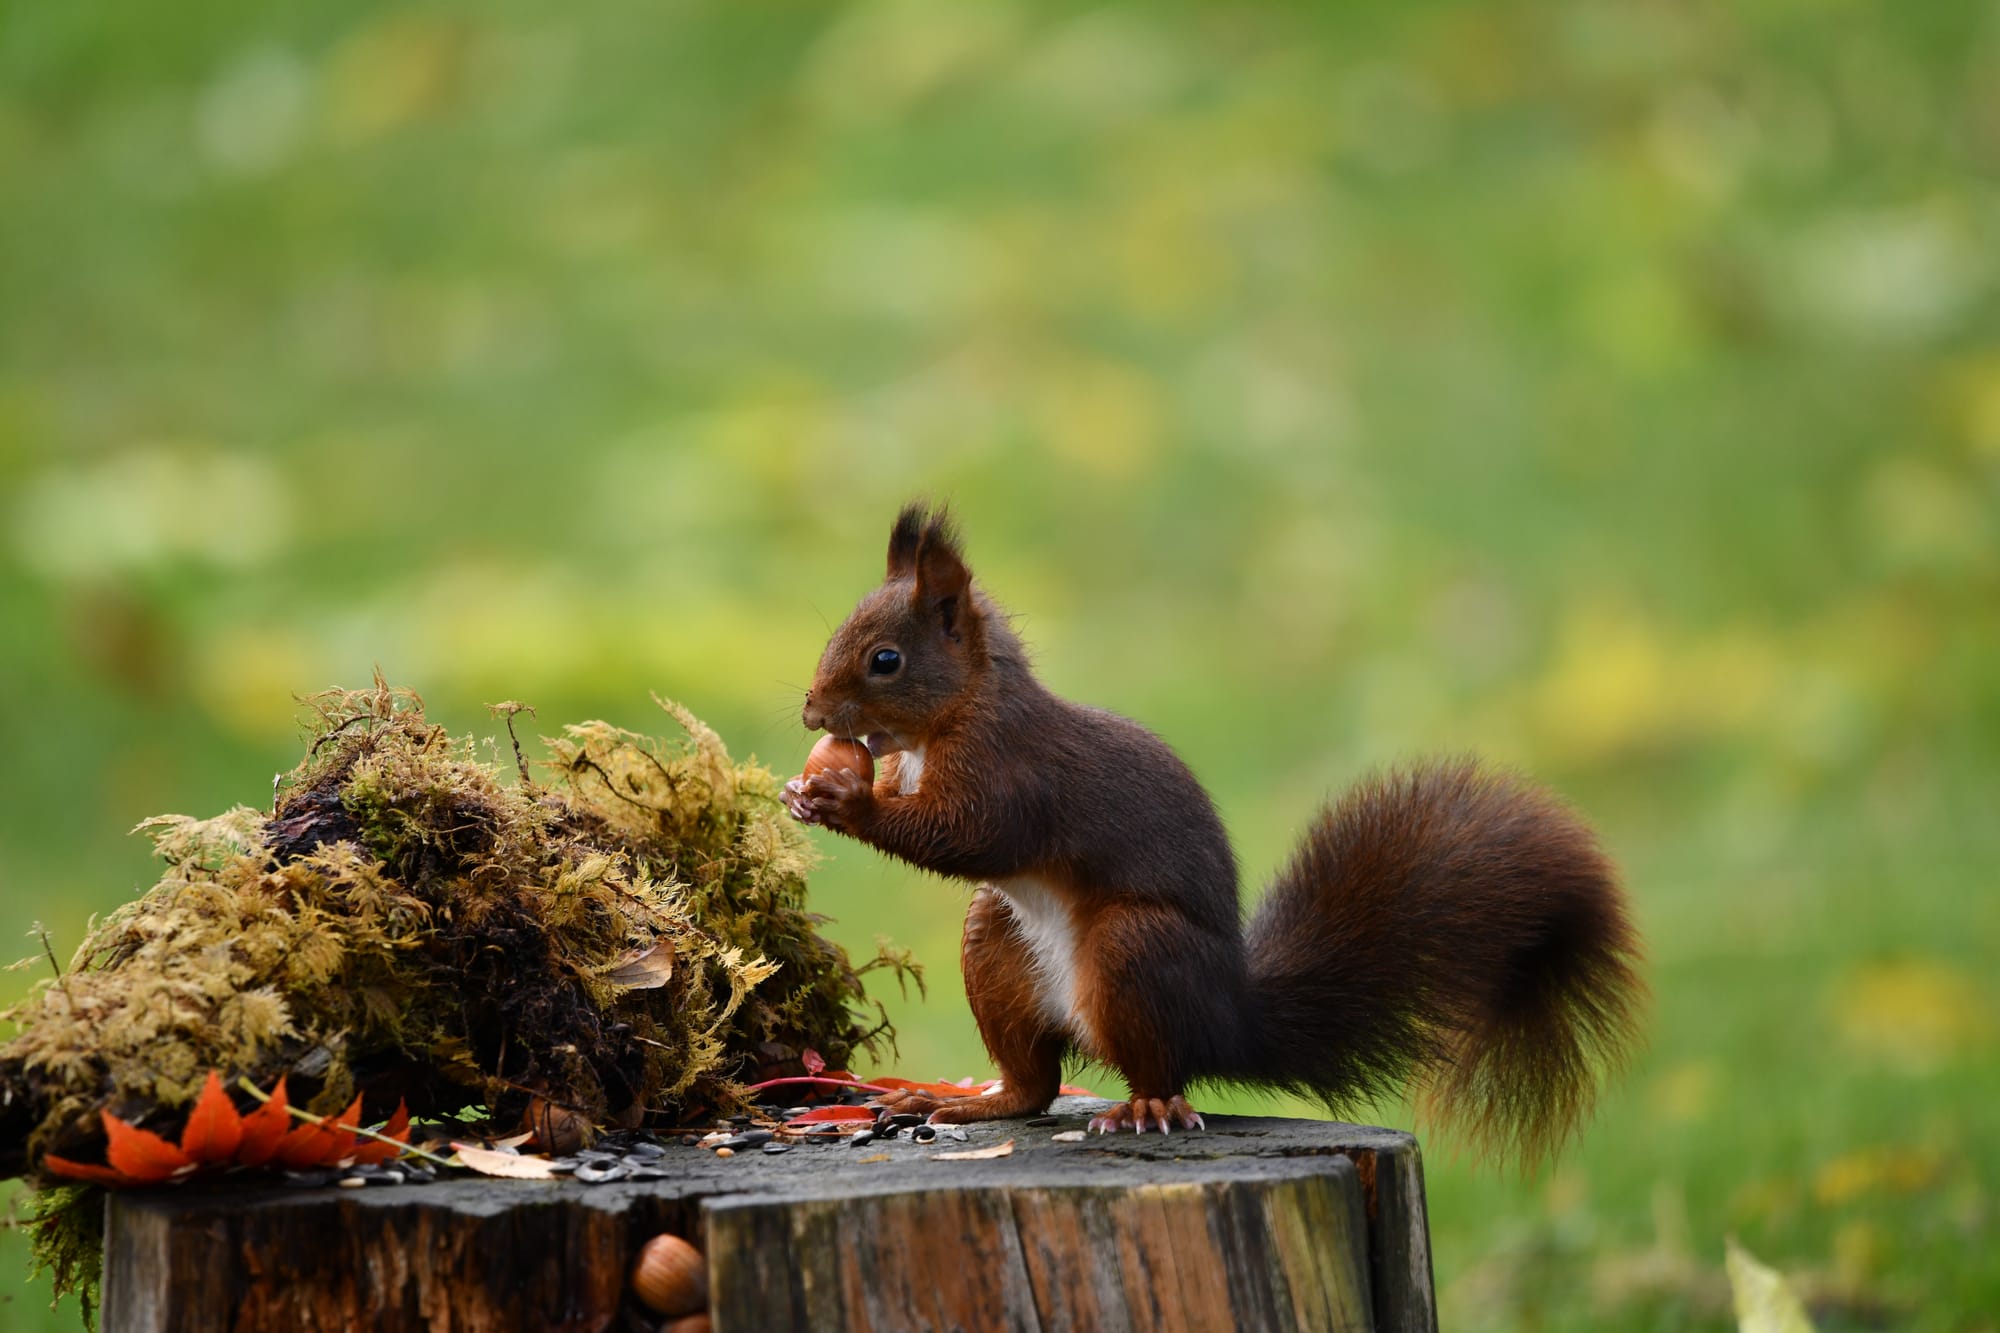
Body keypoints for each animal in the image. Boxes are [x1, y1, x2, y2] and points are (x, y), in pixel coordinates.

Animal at [780, 500, 1640, 1152]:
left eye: (885, 660)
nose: (812, 713)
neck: (949, 721)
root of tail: (1229, 1019)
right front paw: (802, 791)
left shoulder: (1012, 772)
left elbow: (971, 835)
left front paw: (846, 803)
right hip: (995, 942)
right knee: (1036, 1082)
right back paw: (962, 1099)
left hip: (1134, 950)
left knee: (1157, 1067)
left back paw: (1147, 1106)